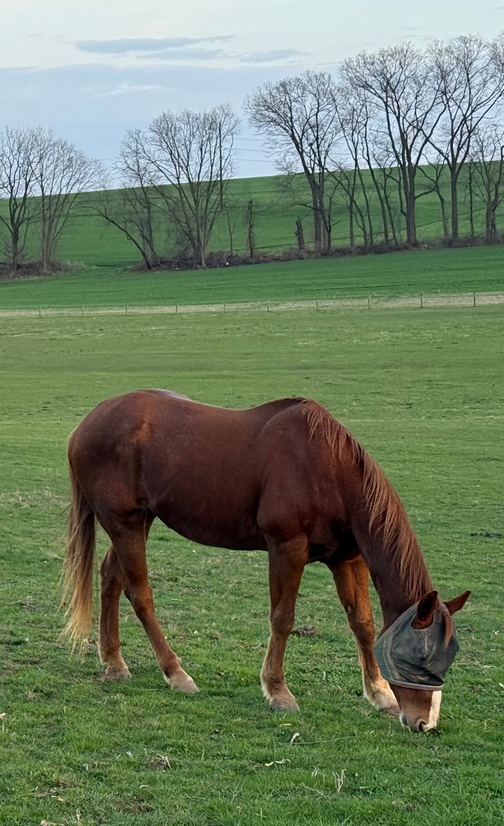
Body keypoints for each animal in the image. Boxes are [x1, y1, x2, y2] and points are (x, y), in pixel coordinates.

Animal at [63, 390, 470, 732]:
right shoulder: (287, 549)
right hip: (125, 523)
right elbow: (283, 618)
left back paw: (114, 662)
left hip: (140, 521)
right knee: (140, 595)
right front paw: (278, 691)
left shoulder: (348, 560)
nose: (425, 724)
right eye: (420, 658)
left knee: (111, 578)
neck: (327, 470)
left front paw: (379, 693)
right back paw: (176, 673)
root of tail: (85, 425)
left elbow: (363, 624)